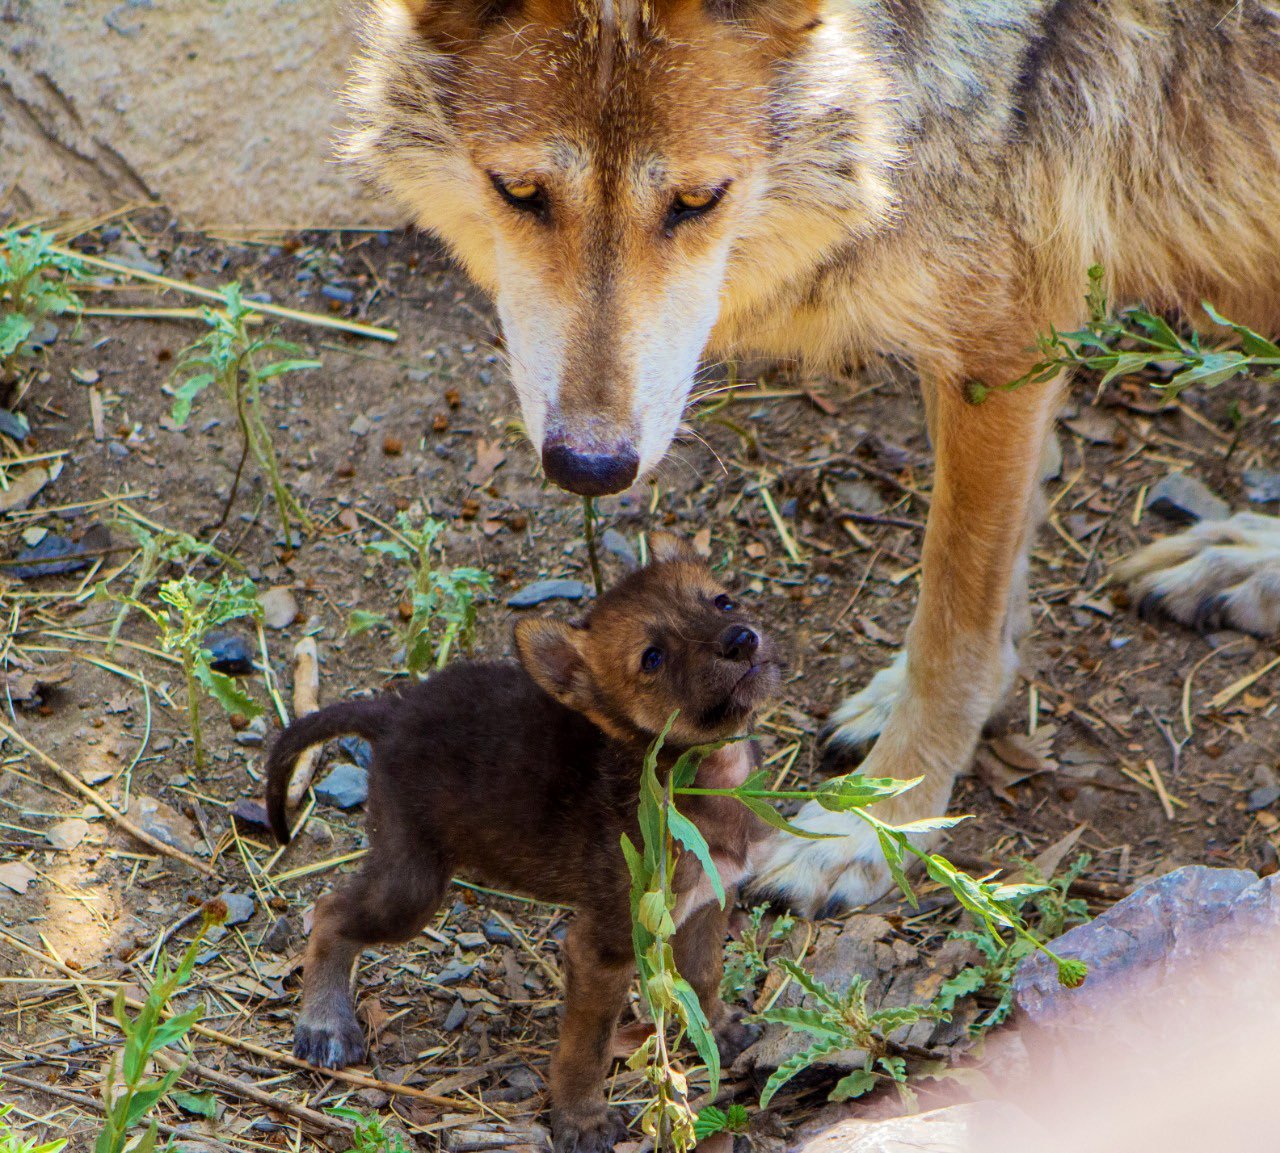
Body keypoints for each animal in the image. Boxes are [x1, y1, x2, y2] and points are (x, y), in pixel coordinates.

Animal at [345, 0, 1280, 916]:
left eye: (698, 198)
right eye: (520, 191)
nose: (589, 466)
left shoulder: (1009, 334)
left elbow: (956, 619)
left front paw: (880, 822)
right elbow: (993, 587)